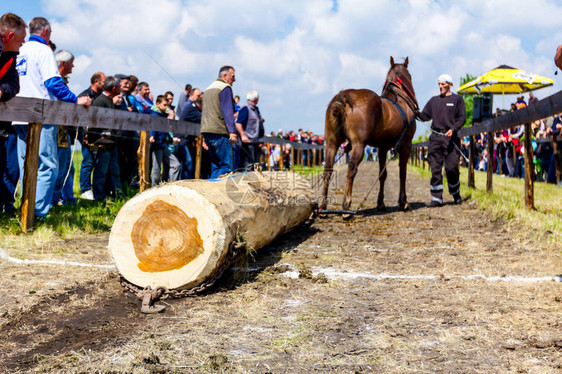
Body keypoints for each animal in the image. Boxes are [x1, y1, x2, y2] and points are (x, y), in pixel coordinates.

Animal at [320, 56, 416, 212]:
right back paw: (346, 204)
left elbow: (383, 174)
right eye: (410, 75)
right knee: (352, 168)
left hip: (331, 143)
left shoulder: (382, 147)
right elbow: (402, 172)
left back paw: (323, 205)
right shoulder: (406, 144)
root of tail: (343, 97)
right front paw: (403, 201)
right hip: (358, 145)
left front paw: (380, 202)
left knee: (328, 169)